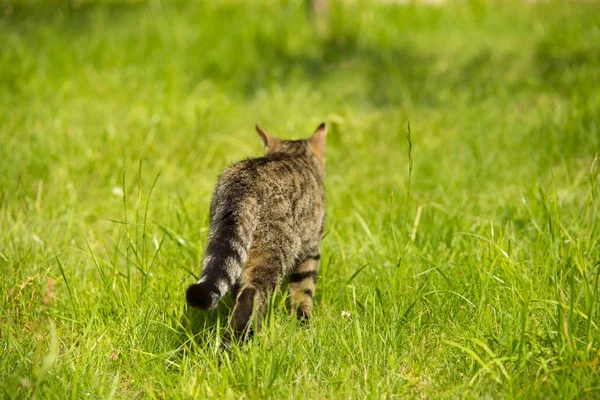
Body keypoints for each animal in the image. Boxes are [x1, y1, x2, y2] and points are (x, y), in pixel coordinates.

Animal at [188, 123, 328, 340]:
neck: (294, 155)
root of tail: (243, 182)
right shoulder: (311, 248)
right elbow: (304, 292)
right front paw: (303, 324)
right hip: (275, 251)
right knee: (250, 295)